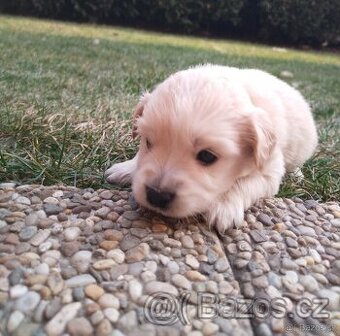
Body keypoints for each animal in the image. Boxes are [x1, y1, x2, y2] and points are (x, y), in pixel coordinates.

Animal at [105, 66, 318, 234]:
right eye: (148, 142)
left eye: (207, 156)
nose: (156, 195)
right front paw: (125, 168)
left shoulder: (270, 170)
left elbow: (244, 183)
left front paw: (224, 207)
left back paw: (297, 175)